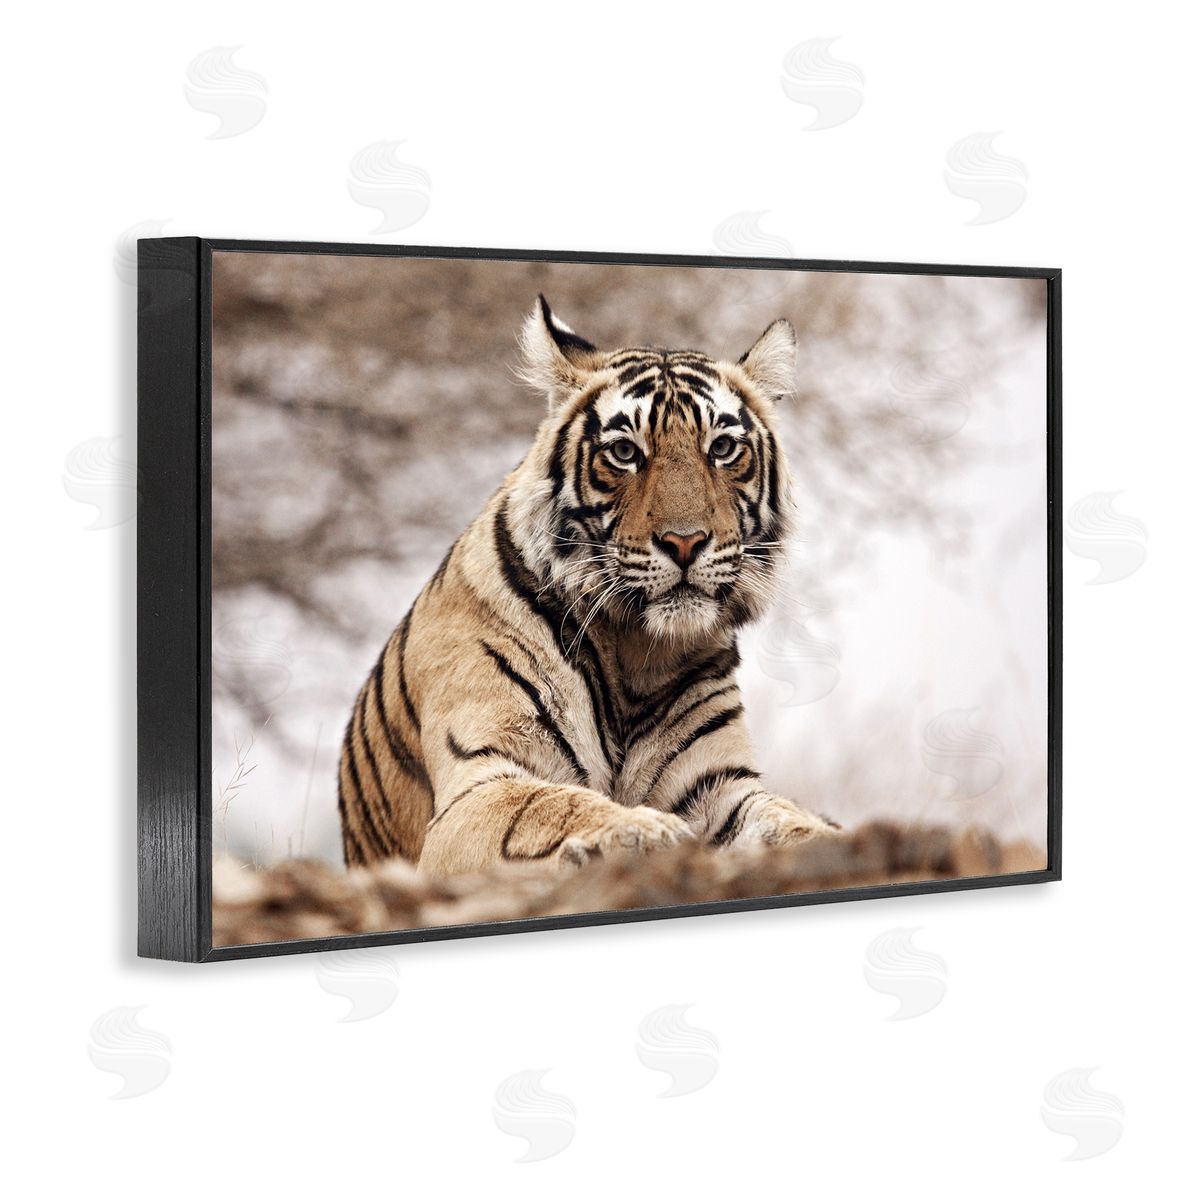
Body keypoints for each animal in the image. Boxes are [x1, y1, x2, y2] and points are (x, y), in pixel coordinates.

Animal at [337, 296, 838, 876]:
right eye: (624, 452)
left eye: (722, 447)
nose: (685, 542)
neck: (637, 652)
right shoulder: (480, 783)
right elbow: (551, 805)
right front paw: (643, 830)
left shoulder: (718, 785)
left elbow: (785, 818)